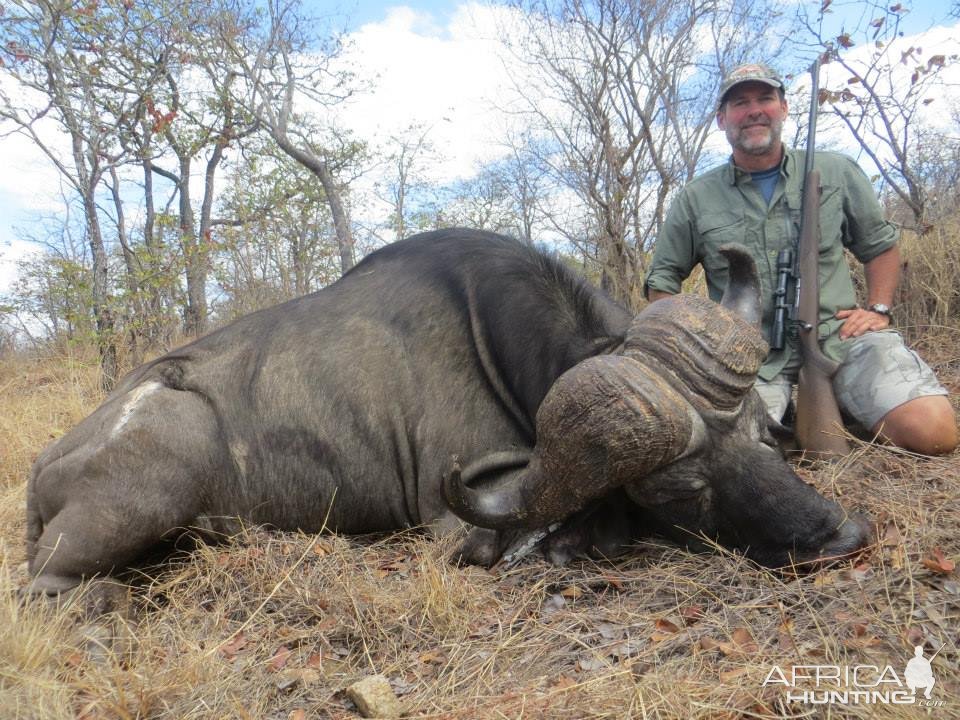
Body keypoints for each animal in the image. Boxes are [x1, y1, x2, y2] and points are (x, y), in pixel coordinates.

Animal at [24, 226, 872, 596]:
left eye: (763, 437)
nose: (839, 537)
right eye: (680, 490)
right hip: (163, 463)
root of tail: (44, 467)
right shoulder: (458, 517)